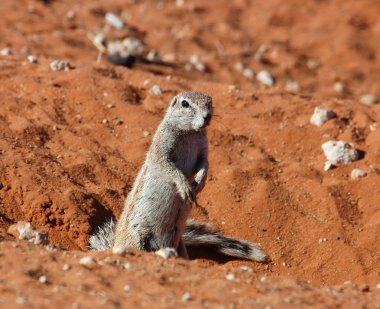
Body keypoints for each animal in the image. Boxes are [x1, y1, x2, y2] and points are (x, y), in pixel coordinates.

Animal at [90, 89, 268, 260]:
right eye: (185, 104)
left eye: (210, 102)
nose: (207, 116)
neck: (190, 133)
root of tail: (115, 245)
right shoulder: (161, 149)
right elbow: (169, 168)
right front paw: (185, 186)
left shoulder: (203, 151)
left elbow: (205, 164)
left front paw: (200, 182)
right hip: (137, 238)